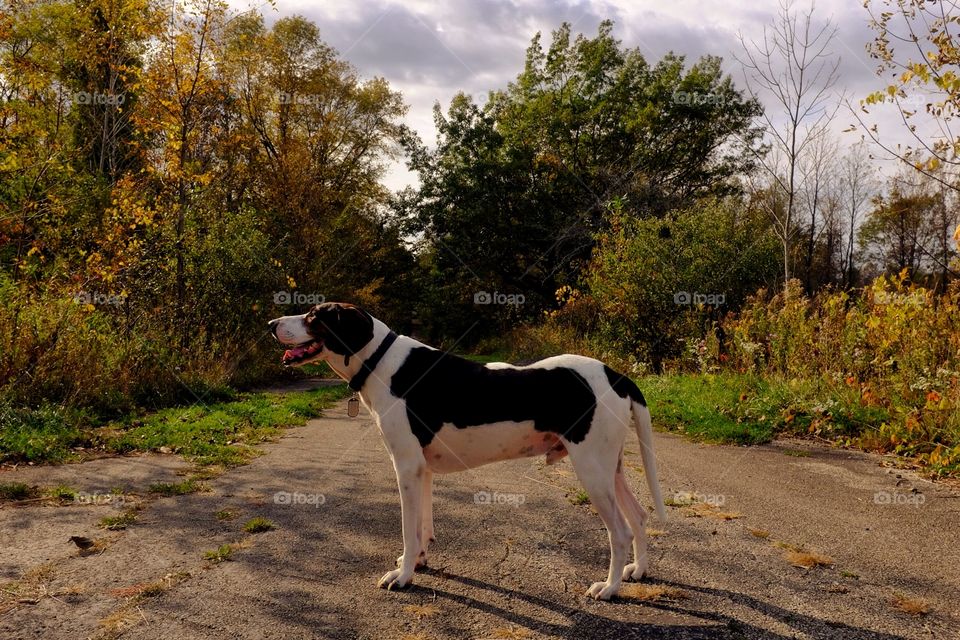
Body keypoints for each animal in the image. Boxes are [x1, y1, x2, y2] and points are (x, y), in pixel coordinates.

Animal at [266, 302, 664, 600]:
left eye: (314, 316)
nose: (270, 323)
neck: (380, 361)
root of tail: (616, 375)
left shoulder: (406, 467)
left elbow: (408, 529)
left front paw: (403, 576)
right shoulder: (422, 470)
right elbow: (422, 528)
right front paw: (418, 562)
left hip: (592, 470)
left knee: (620, 532)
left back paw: (609, 588)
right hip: (610, 469)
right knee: (639, 517)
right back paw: (638, 571)